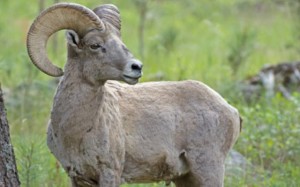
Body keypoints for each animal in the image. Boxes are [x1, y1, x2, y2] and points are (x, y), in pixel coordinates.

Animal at [26, 2, 241, 187]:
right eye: (94, 45)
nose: (136, 67)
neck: (76, 131)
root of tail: (231, 110)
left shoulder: (110, 173)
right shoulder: (77, 177)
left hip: (208, 170)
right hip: (186, 178)